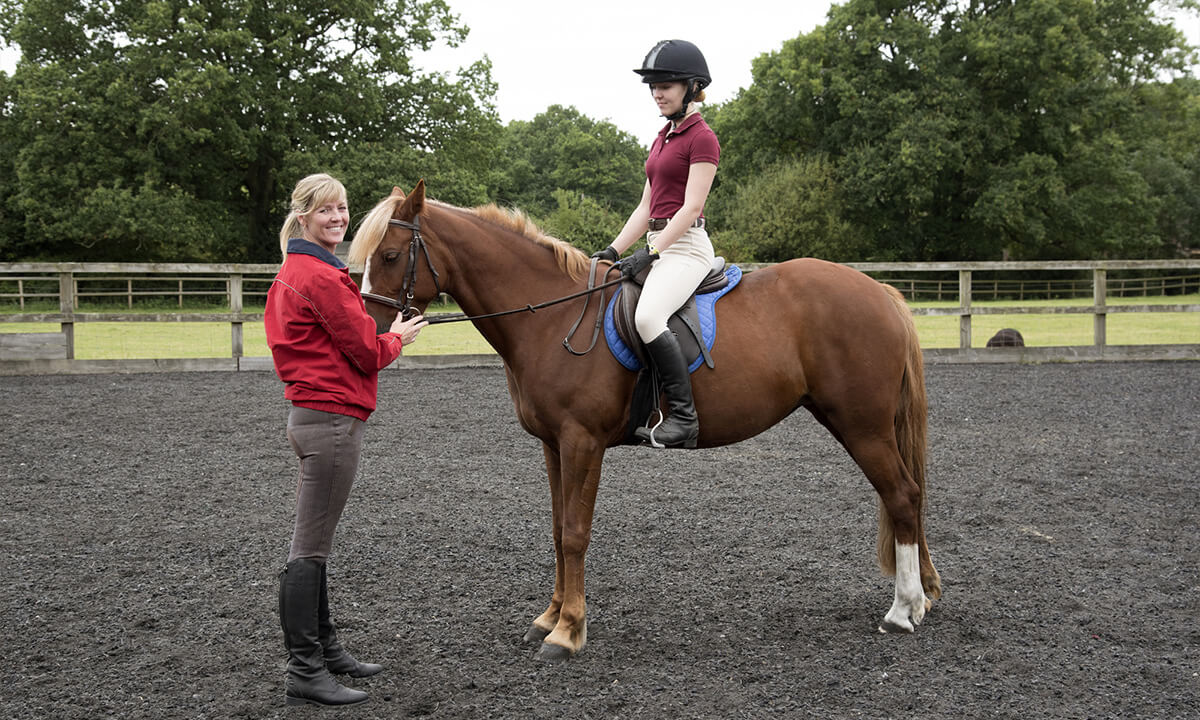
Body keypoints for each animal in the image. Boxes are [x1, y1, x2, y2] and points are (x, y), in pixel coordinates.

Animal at [349, 181, 942, 661]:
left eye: (391, 254)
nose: (370, 331)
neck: (553, 316)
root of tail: (879, 291)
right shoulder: (552, 445)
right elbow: (556, 527)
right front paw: (549, 616)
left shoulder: (582, 442)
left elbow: (575, 532)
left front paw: (567, 632)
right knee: (907, 498)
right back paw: (921, 600)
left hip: (862, 426)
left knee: (902, 495)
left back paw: (902, 610)